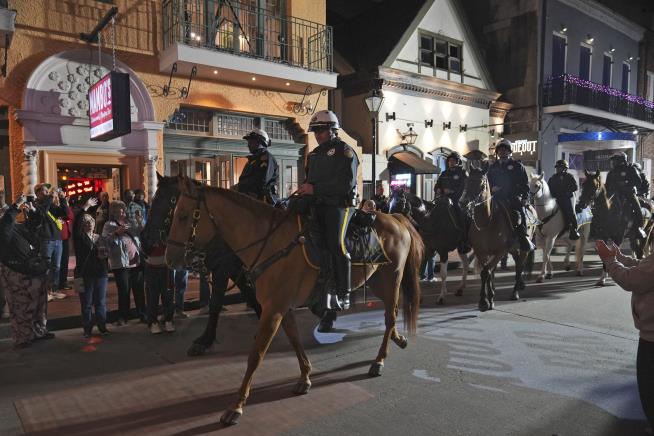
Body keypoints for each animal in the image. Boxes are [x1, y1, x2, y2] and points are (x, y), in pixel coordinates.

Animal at [165, 177, 426, 426]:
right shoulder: (281, 308)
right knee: (391, 315)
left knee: (390, 316)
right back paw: (398, 340)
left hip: (392, 279)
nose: (169, 259)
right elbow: (294, 340)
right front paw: (305, 377)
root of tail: (396, 218)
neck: (270, 243)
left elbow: (256, 355)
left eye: (183, 215)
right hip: (376, 282)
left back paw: (379, 360)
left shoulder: (273, 310)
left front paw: (236, 406)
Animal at [462, 166, 532, 310]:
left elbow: (486, 272)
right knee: (516, 262)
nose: (464, 203)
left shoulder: (499, 252)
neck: (487, 221)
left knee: (519, 266)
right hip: (513, 249)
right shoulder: (481, 252)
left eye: (482, 184)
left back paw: (515, 292)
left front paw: (485, 301)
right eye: (466, 181)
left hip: (523, 249)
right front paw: (489, 298)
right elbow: (488, 272)